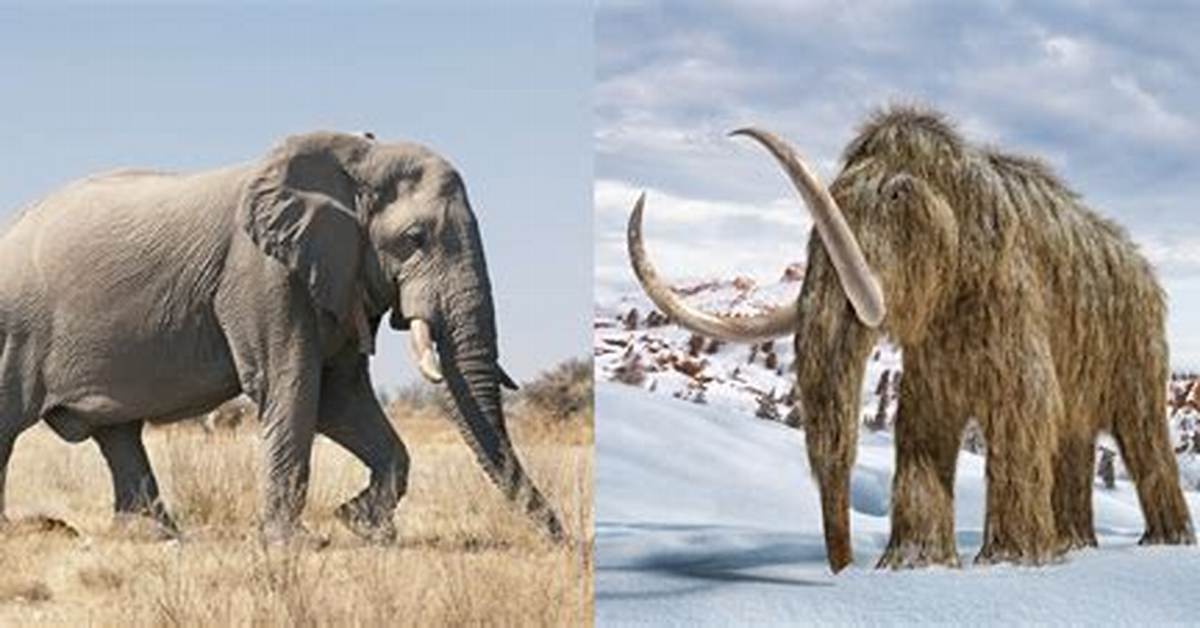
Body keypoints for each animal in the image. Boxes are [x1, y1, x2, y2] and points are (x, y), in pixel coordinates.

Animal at [0, 131, 563, 544]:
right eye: (414, 239)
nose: (562, 540)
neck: (355, 158)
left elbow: (340, 397)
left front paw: (359, 523)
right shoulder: (263, 273)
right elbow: (290, 385)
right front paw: (297, 543)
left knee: (118, 432)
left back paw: (149, 535)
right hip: (14, 327)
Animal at [627, 105, 1194, 572]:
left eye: (898, 196)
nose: (843, 571)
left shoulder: (1015, 303)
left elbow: (1024, 410)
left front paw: (1010, 561)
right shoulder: (932, 353)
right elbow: (922, 425)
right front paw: (913, 564)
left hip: (1137, 350)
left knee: (1143, 437)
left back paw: (1164, 543)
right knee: (1072, 437)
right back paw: (1075, 545)